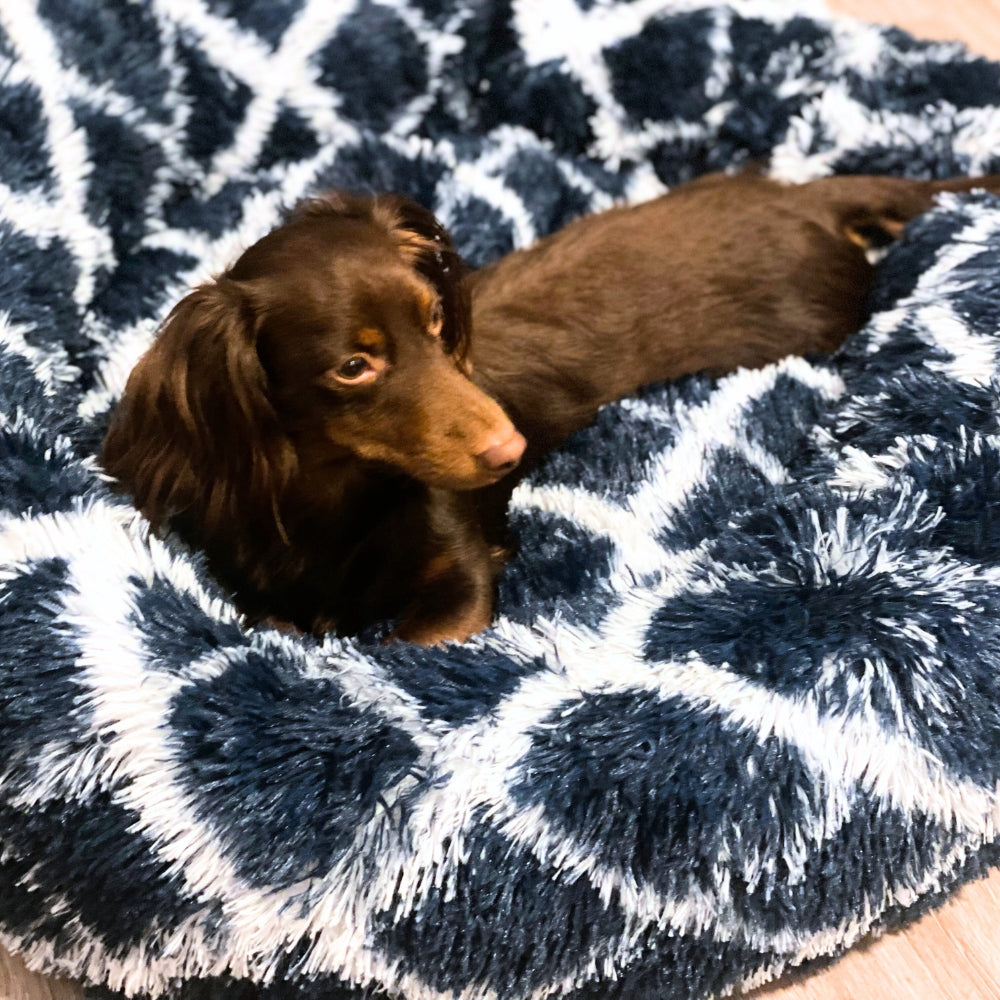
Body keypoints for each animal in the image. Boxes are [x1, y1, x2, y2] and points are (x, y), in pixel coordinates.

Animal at [101, 171, 1000, 644]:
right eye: (355, 366)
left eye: (437, 322)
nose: (509, 451)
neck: (342, 498)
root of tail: (807, 198)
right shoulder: (260, 601)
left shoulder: (462, 582)